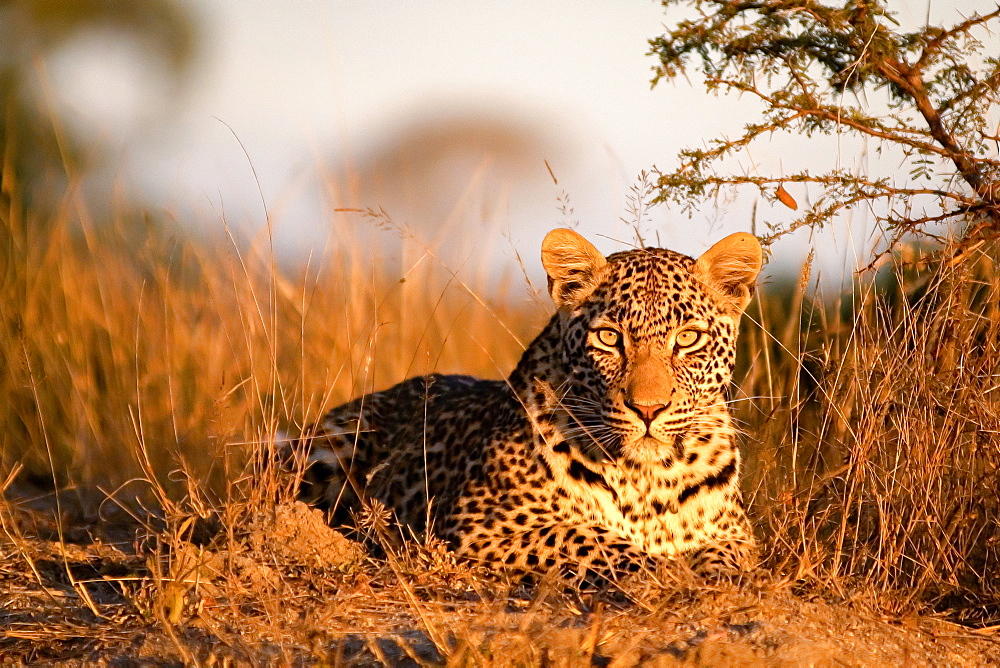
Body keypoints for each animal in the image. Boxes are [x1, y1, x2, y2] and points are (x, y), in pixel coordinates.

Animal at [290, 227, 764, 580]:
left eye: (689, 338)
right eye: (608, 337)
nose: (648, 409)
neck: (648, 481)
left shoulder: (735, 533)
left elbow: (730, 557)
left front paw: (715, 575)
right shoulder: (479, 527)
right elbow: (592, 540)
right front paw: (664, 571)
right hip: (330, 451)